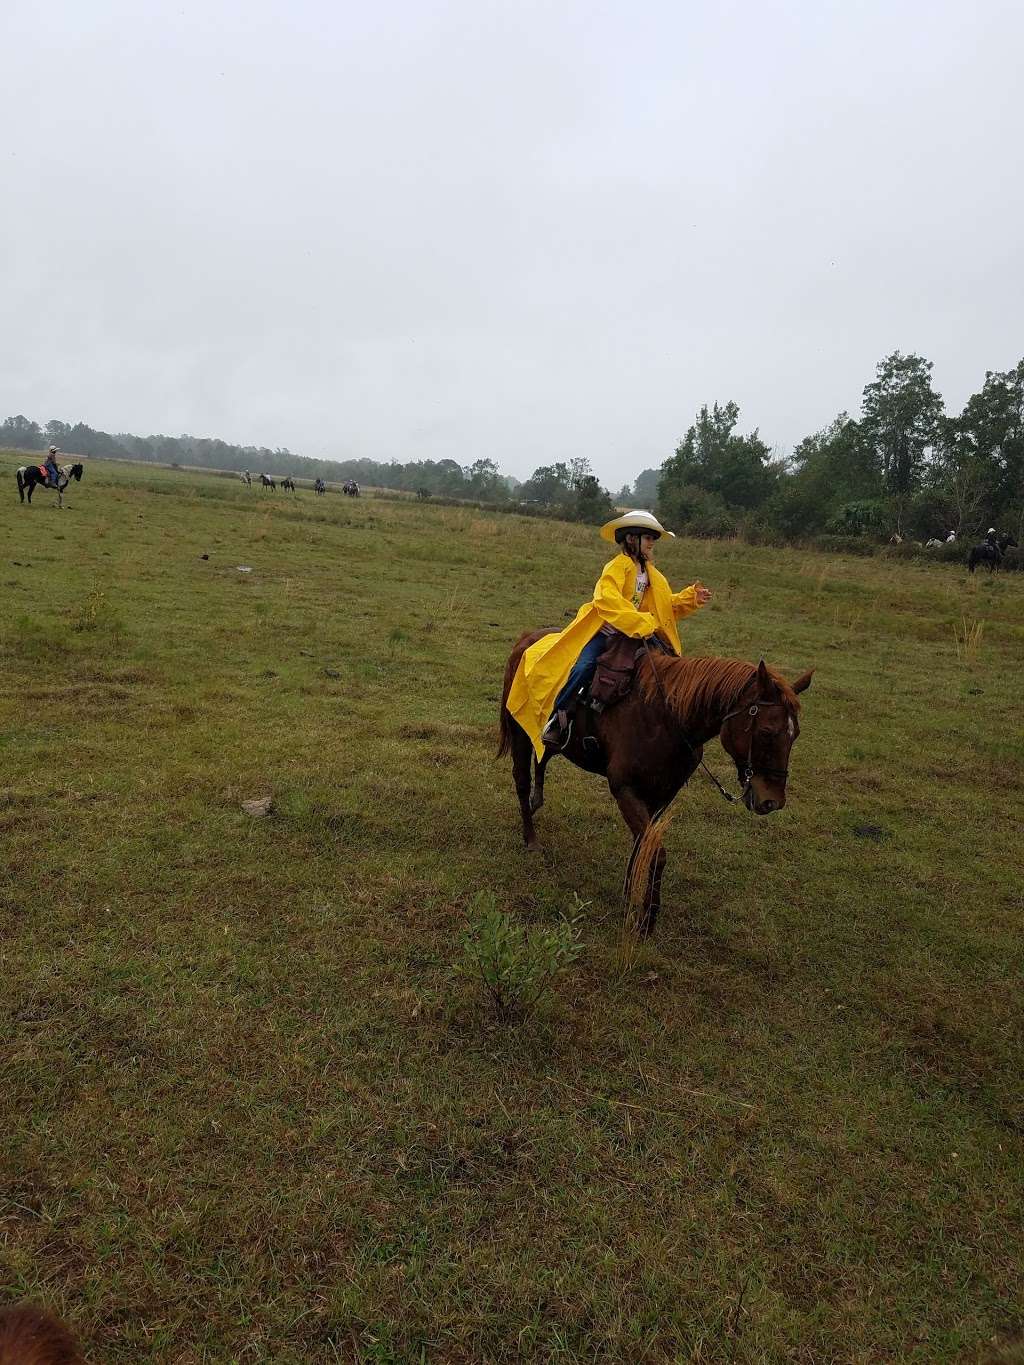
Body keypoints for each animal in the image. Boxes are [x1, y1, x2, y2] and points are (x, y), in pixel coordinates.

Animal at [502, 633, 813, 933]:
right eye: (767, 732)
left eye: (795, 733)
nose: (772, 801)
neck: (664, 718)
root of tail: (527, 639)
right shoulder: (625, 790)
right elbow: (656, 852)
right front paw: (646, 921)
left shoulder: (662, 795)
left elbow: (643, 844)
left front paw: (629, 897)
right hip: (520, 733)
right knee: (522, 780)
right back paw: (530, 837)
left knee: (542, 759)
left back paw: (537, 801)